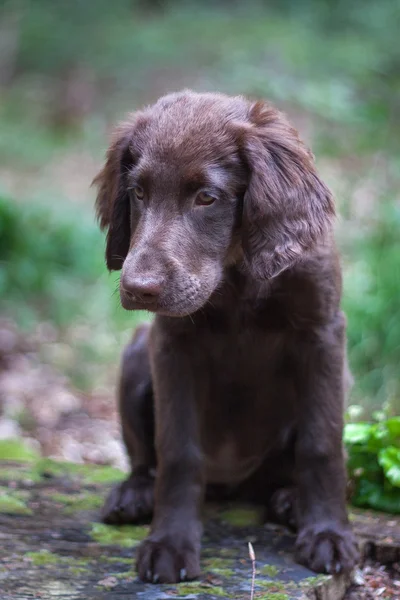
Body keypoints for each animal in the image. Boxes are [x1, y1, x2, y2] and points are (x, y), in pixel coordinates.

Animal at [94, 91, 360, 584]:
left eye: (206, 197)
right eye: (138, 192)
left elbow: (321, 442)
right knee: (144, 459)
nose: (138, 288)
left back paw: (291, 500)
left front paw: (328, 535)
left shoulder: (322, 332)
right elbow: (178, 451)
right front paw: (169, 544)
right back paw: (134, 494)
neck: (236, 273)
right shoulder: (171, 344)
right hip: (138, 352)